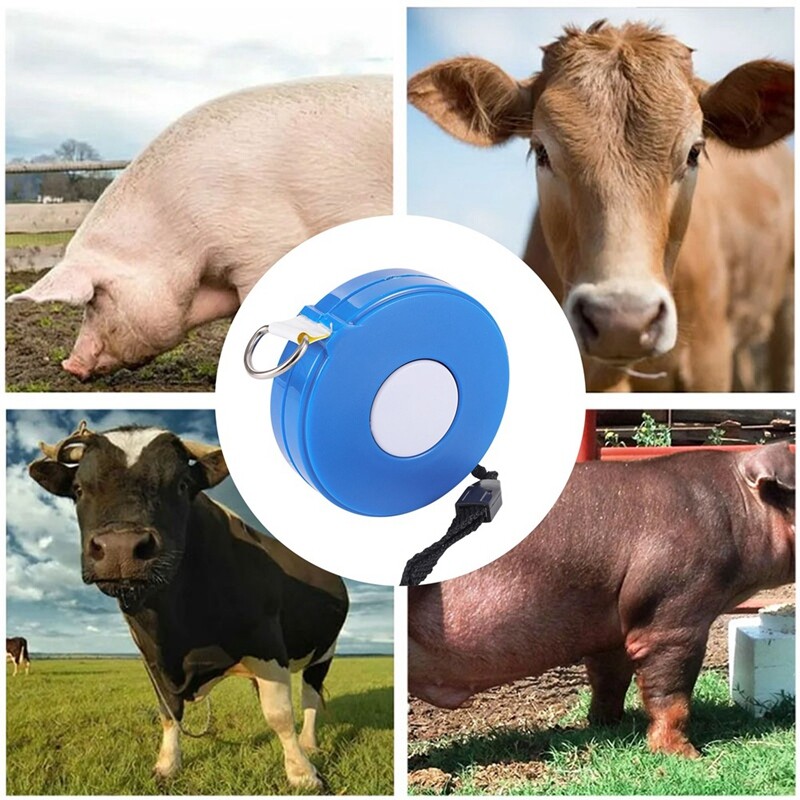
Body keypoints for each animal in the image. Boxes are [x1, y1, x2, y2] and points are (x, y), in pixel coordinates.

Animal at [29, 421, 348, 789]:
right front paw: (167, 764)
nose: (121, 548)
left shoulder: (267, 643)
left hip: (324, 651)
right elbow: (169, 712)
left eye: (181, 485)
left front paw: (302, 773)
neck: (176, 627)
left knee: (310, 697)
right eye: (79, 489)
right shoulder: (151, 657)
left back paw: (309, 742)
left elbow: (280, 714)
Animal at [409, 443, 795, 758]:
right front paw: (687, 756)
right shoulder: (672, 615)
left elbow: (609, 678)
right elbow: (672, 694)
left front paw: (604, 724)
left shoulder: (611, 626)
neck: (739, 507)